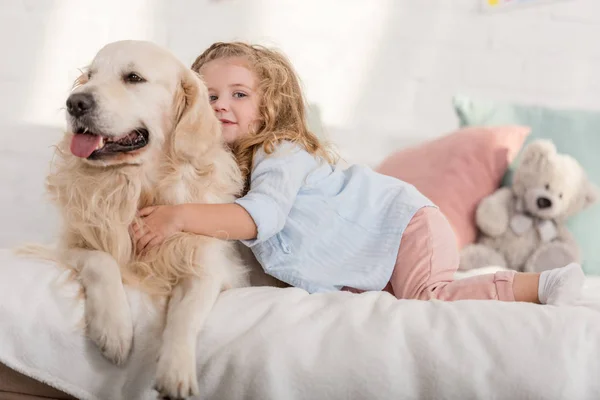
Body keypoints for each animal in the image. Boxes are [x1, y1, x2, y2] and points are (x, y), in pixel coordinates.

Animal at [46, 41, 248, 400]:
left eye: (134, 77)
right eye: (91, 75)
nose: (74, 102)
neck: (141, 185)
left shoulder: (208, 266)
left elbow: (185, 316)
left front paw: (176, 370)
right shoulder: (69, 243)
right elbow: (102, 262)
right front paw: (114, 330)